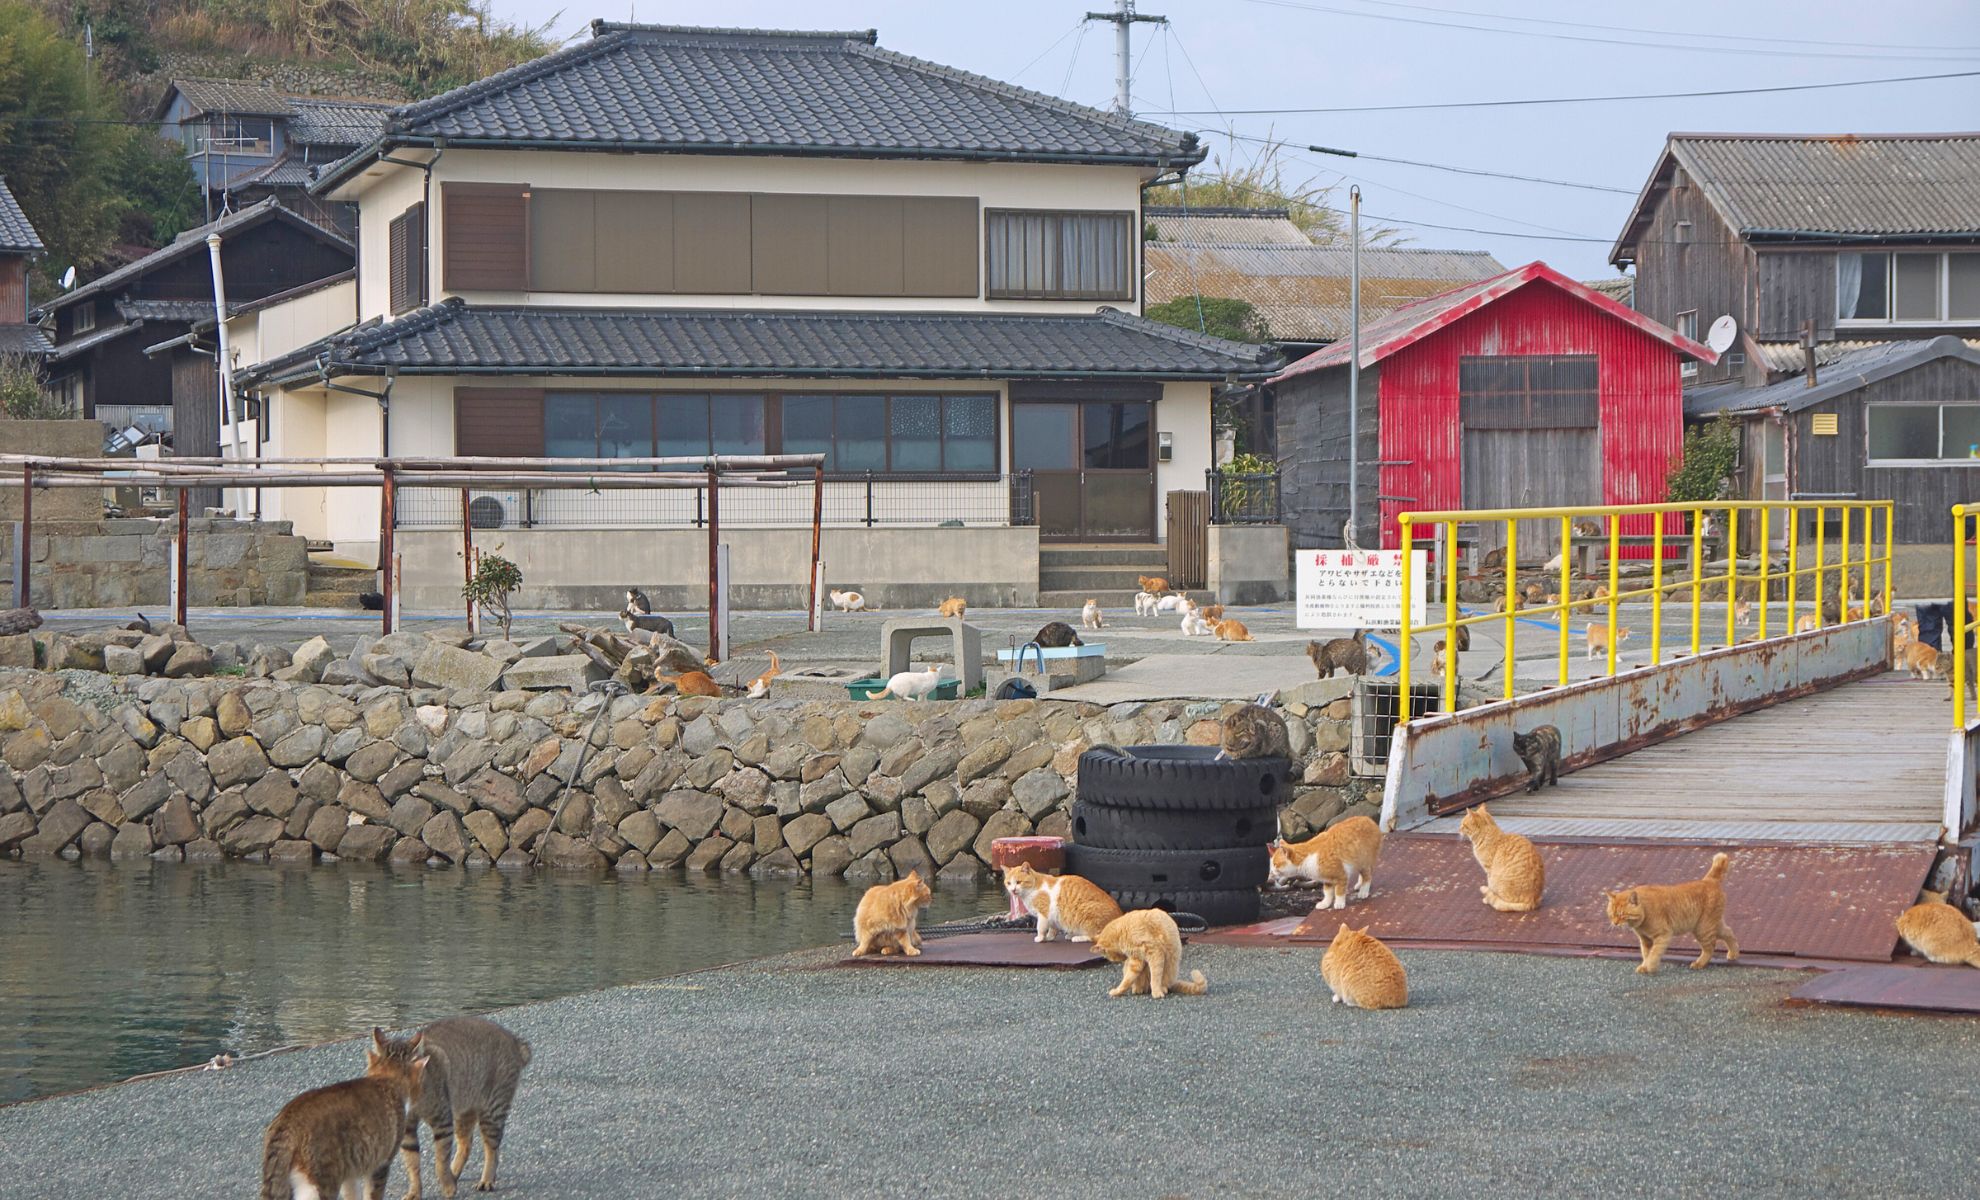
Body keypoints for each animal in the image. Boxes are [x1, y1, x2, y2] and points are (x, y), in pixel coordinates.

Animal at [259, 1037, 425, 1200]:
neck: (386, 1080)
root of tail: (287, 1122)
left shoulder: (351, 1172)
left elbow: (352, 1195)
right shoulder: (380, 1165)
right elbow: (372, 1194)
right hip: (323, 1181)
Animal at [374, 1021, 530, 1196]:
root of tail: (514, 1040)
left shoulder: (442, 1120)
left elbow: (441, 1159)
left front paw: (448, 1187)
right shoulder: (407, 1129)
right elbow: (412, 1163)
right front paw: (415, 1191)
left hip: (492, 1110)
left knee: (492, 1149)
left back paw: (486, 1179)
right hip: (464, 1111)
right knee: (466, 1144)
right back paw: (454, 1173)